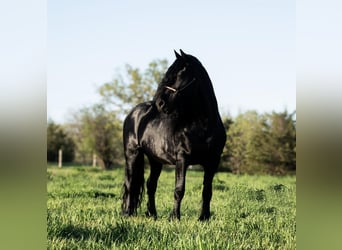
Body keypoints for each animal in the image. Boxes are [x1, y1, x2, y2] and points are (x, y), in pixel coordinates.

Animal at [121, 49, 226, 221]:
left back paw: (152, 214)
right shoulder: (182, 159)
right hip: (132, 154)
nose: (159, 103)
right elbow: (179, 189)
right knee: (130, 184)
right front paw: (174, 217)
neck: (203, 125)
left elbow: (207, 191)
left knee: (151, 185)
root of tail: (133, 113)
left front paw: (204, 218)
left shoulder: (213, 161)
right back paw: (127, 214)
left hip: (155, 160)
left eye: (177, 74)